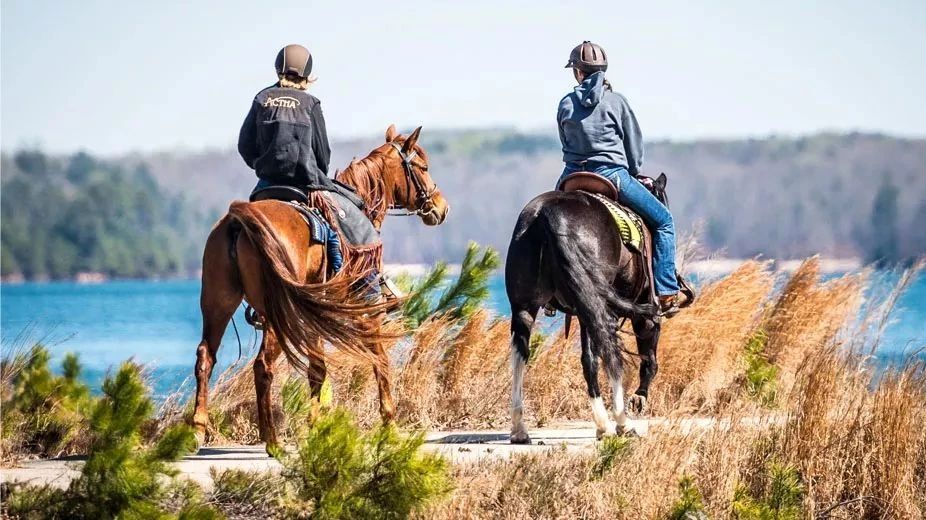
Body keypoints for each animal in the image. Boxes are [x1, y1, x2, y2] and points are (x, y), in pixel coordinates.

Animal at [191, 125, 450, 450]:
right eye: (423, 167)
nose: (441, 207)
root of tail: (239, 220)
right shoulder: (365, 308)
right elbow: (379, 358)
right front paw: (389, 423)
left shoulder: (314, 315)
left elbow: (318, 369)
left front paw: (315, 425)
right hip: (277, 313)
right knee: (262, 366)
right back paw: (271, 440)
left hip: (218, 302)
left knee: (205, 357)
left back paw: (197, 429)